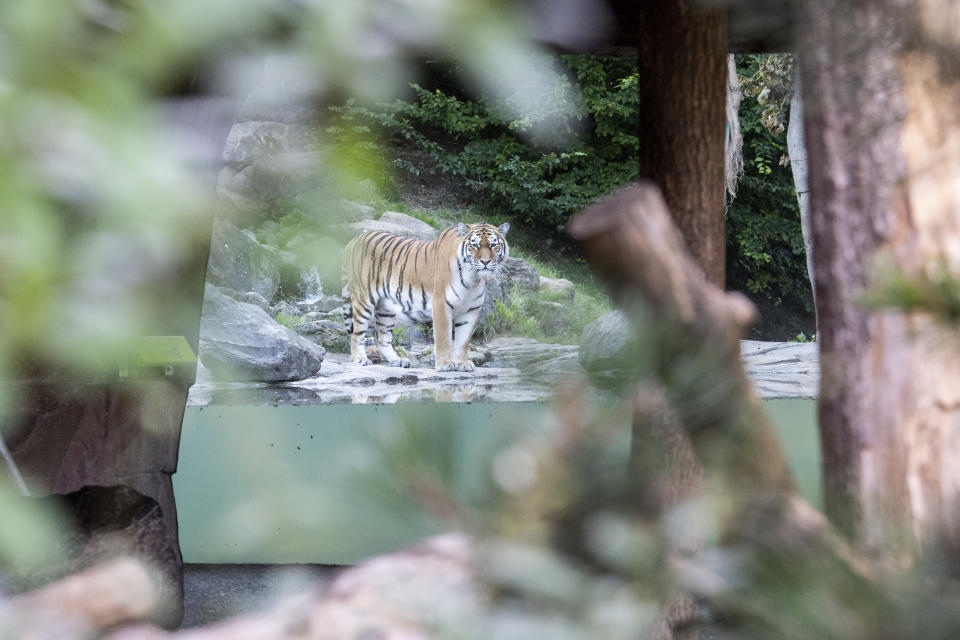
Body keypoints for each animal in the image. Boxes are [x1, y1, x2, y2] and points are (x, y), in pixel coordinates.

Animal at [344, 221, 510, 370]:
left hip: (386, 308)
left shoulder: (471, 310)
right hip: (364, 300)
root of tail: (354, 240)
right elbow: (444, 337)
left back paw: (397, 360)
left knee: (380, 337)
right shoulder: (441, 304)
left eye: (493, 245)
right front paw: (445, 364)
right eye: (474, 245)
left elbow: (463, 341)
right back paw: (360, 358)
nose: (485, 262)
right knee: (356, 333)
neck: (474, 279)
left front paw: (462, 363)